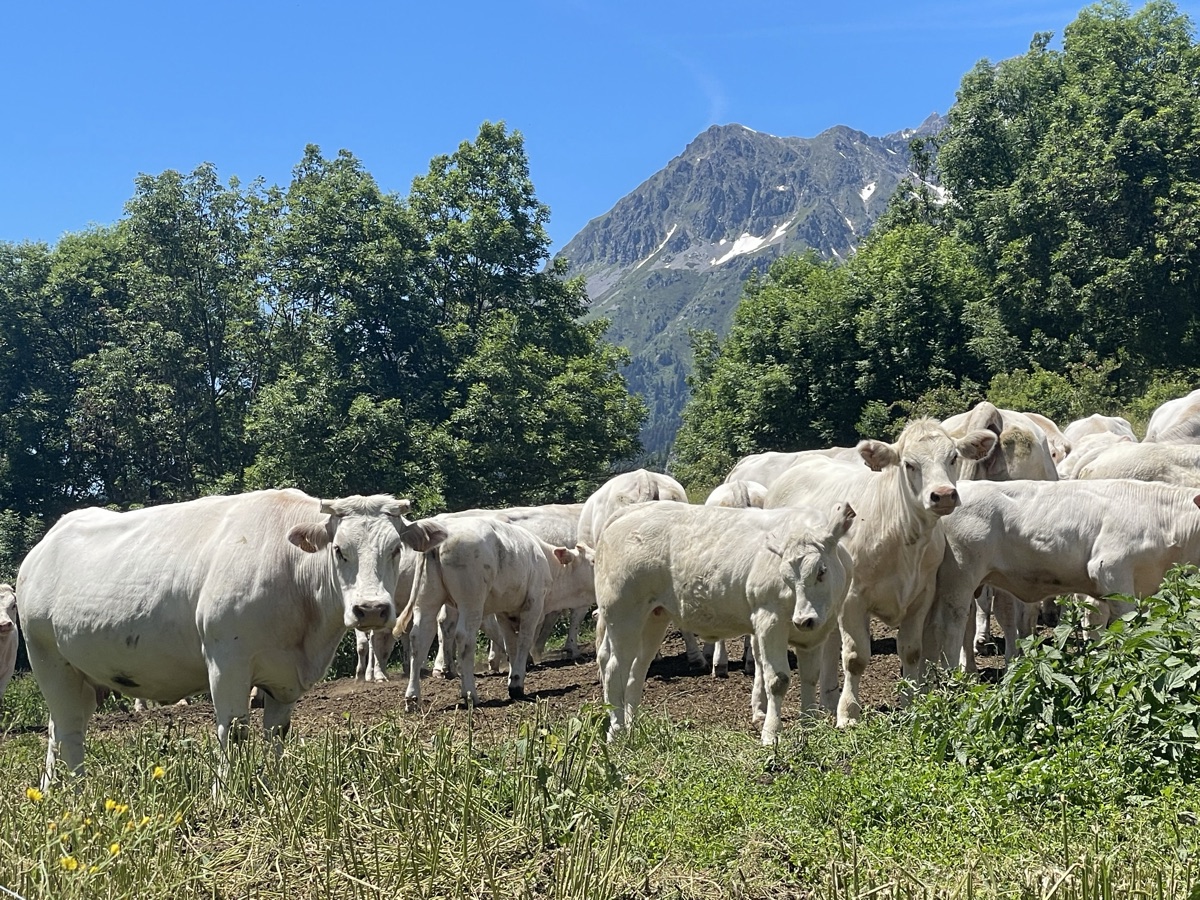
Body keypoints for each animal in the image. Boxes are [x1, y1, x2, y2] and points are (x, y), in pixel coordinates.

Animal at [17, 490, 446, 785]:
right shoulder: (227, 661)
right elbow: (234, 730)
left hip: (81, 676)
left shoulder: (283, 677)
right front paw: (227, 791)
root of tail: (44, 546)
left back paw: (53, 790)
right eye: (340, 550)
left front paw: (275, 784)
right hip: (47, 659)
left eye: (396, 549)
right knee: (69, 730)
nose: (371, 609)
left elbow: (277, 732)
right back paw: (78, 793)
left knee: (57, 729)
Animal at [394, 516, 595, 708]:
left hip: (427, 598)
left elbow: (511, 645)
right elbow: (523, 642)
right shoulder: (533, 606)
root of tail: (444, 535)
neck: (546, 562)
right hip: (471, 601)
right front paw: (517, 684)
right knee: (464, 638)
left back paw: (412, 698)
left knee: (419, 637)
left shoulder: (504, 612)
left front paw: (513, 678)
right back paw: (469, 694)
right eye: (593, 561)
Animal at [595, 500, 855, 744]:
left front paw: (809, 726)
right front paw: (771, 734)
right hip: (623, 614)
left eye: (821, 571)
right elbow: (777, 680)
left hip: (653, 617)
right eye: (786, 577)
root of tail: (630, 511)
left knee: (636, 669)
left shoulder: (815, 634)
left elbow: (810, 676)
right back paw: (617, 732)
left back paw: (633, 725)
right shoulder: (769, 621)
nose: (804, 619)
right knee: (615, 669)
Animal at [764, 417, 997, 726]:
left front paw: (910, 704)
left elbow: (911, 651)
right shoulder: (853, 599)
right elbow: (855, 657)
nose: (944, 495)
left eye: (953, 458)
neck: (902, 537)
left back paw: (828, 700)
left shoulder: (922, 596)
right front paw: (849, 713)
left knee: (829, 642)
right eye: (909, 464)